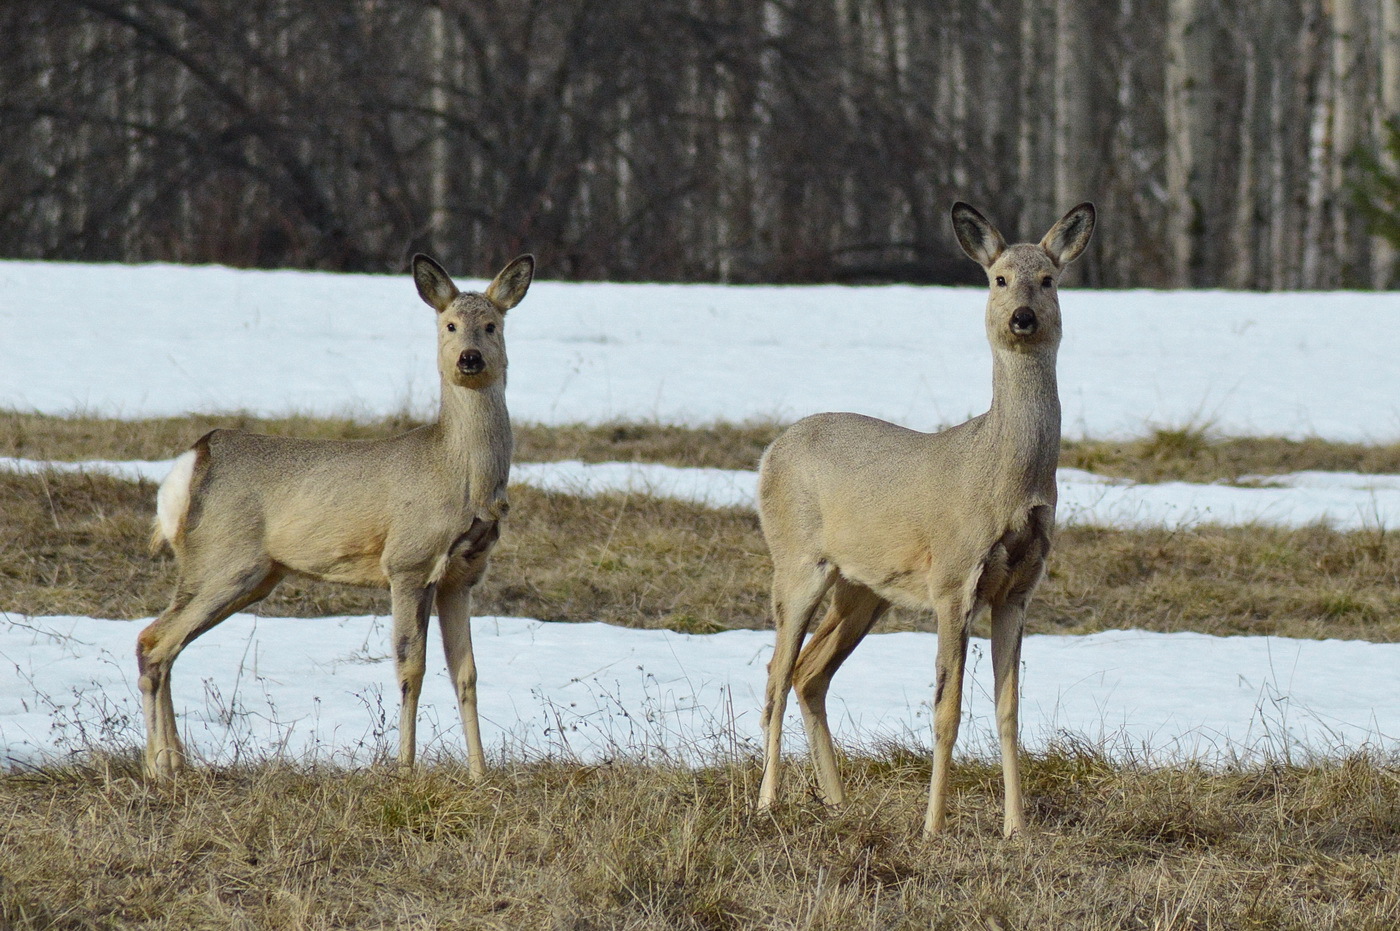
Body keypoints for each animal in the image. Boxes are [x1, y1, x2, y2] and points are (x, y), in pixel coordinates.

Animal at [136, 250, 532, 778]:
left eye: (491, 325)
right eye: (449, 324)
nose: (470, 358)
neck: (459, 474)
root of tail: (194, 460)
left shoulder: (462, 575)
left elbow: (465, 672)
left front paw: (479, 774)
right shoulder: (407, 561)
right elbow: (411, 667)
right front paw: (403, 770)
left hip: (250, 573)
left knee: (161, 644)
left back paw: (174, 764)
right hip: (223, 559)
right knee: (155, 642)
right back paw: (159, 768)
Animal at [756, 201, 1092, 834]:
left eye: (1049, 279)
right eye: (999, 279)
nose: (1023, 318)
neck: (1003, 477)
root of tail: (770, 452)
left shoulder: (1019, 588)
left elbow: (1008, 709)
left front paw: (1016, 829)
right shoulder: (953, 579)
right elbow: (946, 710)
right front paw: (933, 826)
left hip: (864, 589)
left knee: (809, 674)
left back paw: (836, 802)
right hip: (797, 560)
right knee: (776, 675)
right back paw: (767, 802)